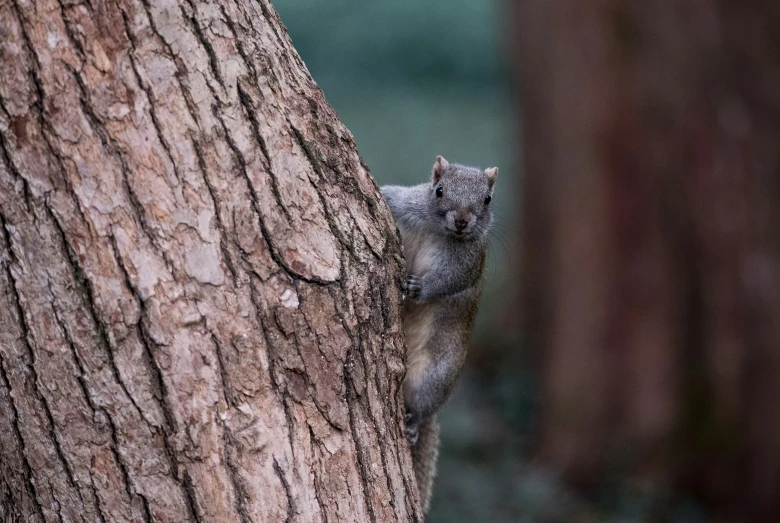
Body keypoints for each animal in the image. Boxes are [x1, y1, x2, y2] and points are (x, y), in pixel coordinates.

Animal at [380, 155, 496, 512]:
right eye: (439, 190)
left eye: (487, 199)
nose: (461, 220)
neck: (437, 230)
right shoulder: (404, 202)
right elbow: (389, 194)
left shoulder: (468, 263)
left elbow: (448, 283)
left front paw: (419, 288)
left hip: (434, 374)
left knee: (423, 406)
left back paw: (413, 424)